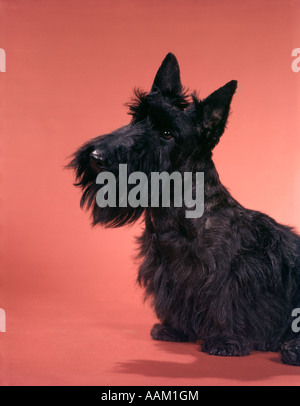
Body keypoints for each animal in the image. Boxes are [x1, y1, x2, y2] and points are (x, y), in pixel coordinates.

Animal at [69, 51, 300, 364]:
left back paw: (291, 348)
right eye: (136, 117)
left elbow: (225, 304)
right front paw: (174, 329)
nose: (96, 156)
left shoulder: (230, 275)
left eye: (167, 133)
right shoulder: (166, 272)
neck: (174, 214)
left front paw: (225, 342)